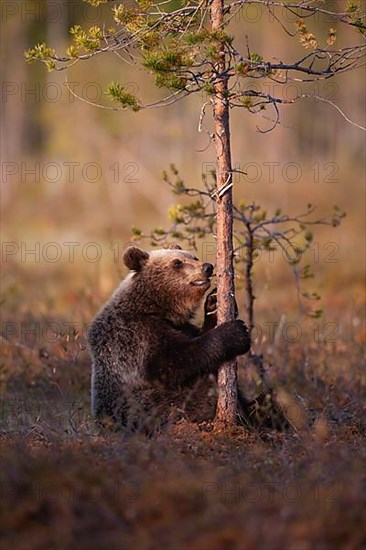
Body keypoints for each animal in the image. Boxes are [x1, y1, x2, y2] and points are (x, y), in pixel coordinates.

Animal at [87, 246, 250, 432]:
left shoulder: (181, 326)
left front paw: (214, 303)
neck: (155, 309)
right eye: (177, 263)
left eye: (193, 257)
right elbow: (175, 362)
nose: (207, 267)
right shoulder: (135, 338)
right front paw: (235, 332)